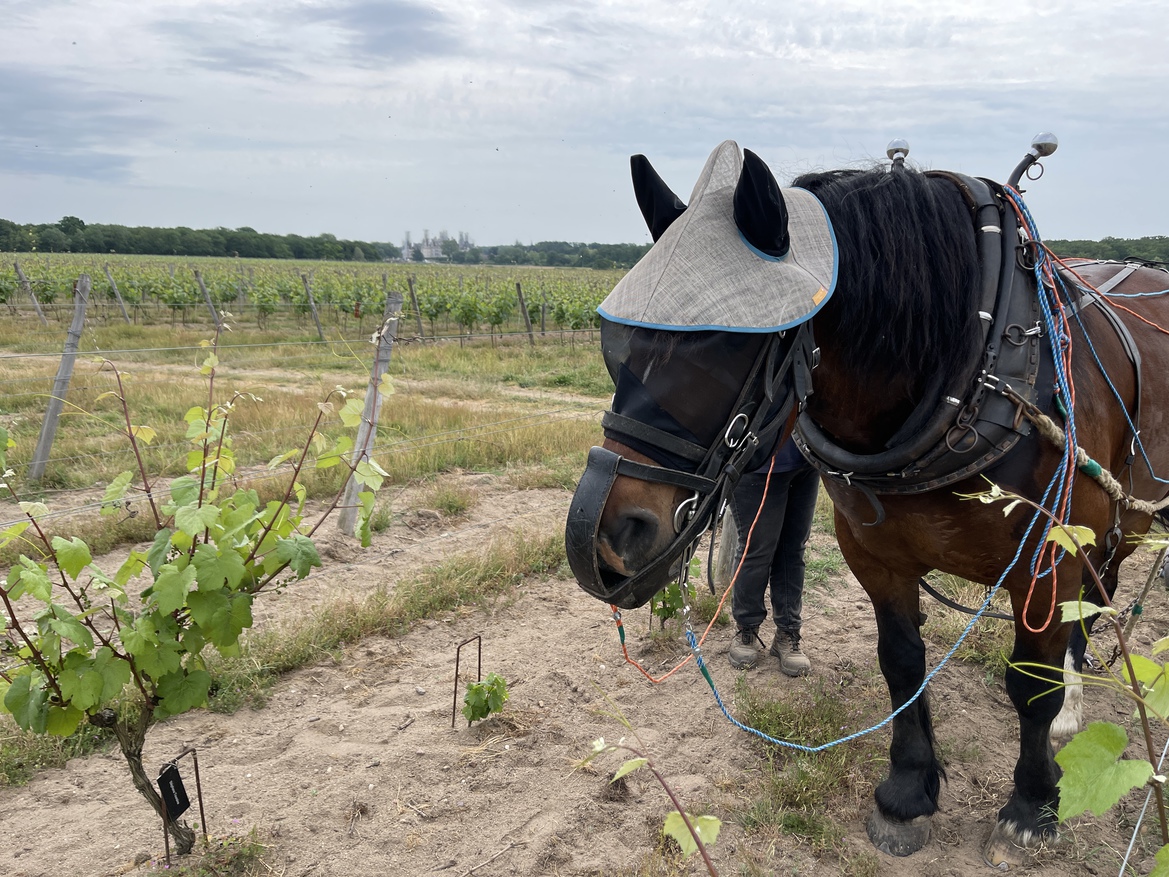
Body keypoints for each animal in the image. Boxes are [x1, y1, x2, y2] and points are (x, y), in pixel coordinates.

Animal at [563, 140, 1169, 869]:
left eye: (731, 341)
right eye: (618, 341)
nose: (601, 534)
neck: (970, 366)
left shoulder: (1046, 561)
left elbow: (1030, 681)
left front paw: (1030, 806)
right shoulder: (875, 555)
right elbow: (901, 663)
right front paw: (906, 793)